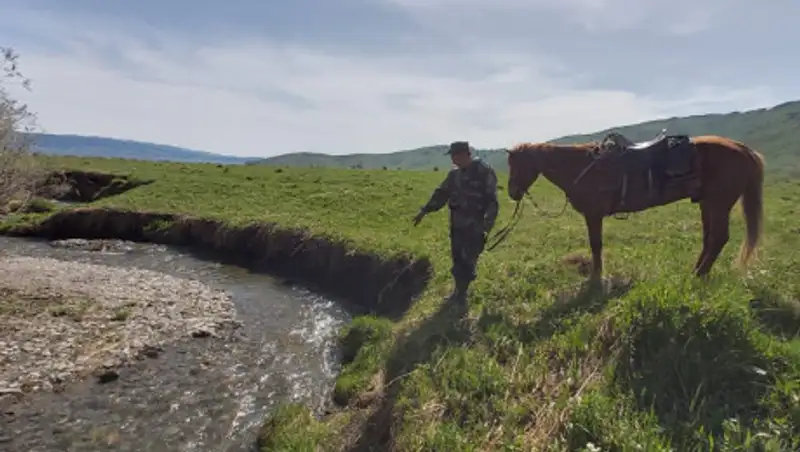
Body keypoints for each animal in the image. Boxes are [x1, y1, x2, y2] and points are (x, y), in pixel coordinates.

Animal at [506, 132, 764, 278]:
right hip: (706, 203)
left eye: (518, 164)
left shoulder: (593, 215)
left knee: (718, 238)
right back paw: (697, 271)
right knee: (710, 238)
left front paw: (597, 278)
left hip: (719, 203)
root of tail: (743, 149)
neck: (580, 166)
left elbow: (596, 246)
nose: (512, 192)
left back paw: (698, 275)